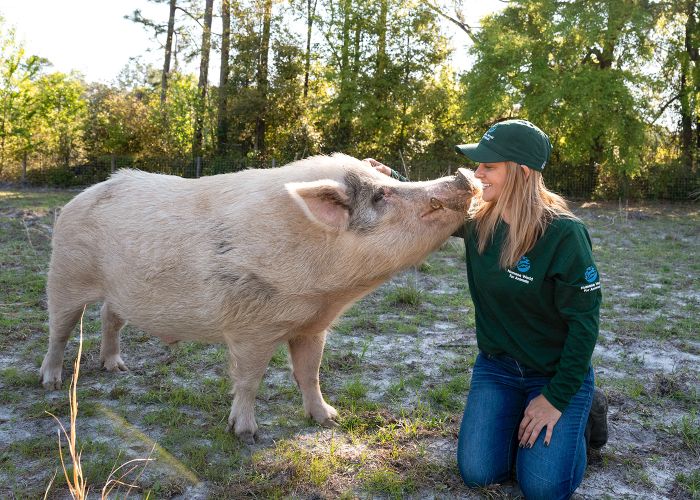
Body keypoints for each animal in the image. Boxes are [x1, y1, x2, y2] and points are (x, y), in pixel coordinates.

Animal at [39, 153, 477, 444]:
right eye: (382, 194)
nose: (463, 175)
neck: (326, 292)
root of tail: (78, 198)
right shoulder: (251, 326)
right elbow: (250, 379)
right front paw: (247, 435)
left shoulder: (312, 326)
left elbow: (310, 374)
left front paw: (329, 420)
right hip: (64, 274)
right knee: (59, 330)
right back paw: (51, 383)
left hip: (116, 291)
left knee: (109, 317)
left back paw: (117, 368)